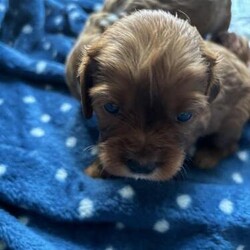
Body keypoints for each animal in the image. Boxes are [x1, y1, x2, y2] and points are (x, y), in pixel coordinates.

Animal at [66, 10, 250, 182]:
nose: (141, 166)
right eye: (110, 107)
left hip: (233, 121)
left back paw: (208, 156)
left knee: (230, 144)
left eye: (185, 116)